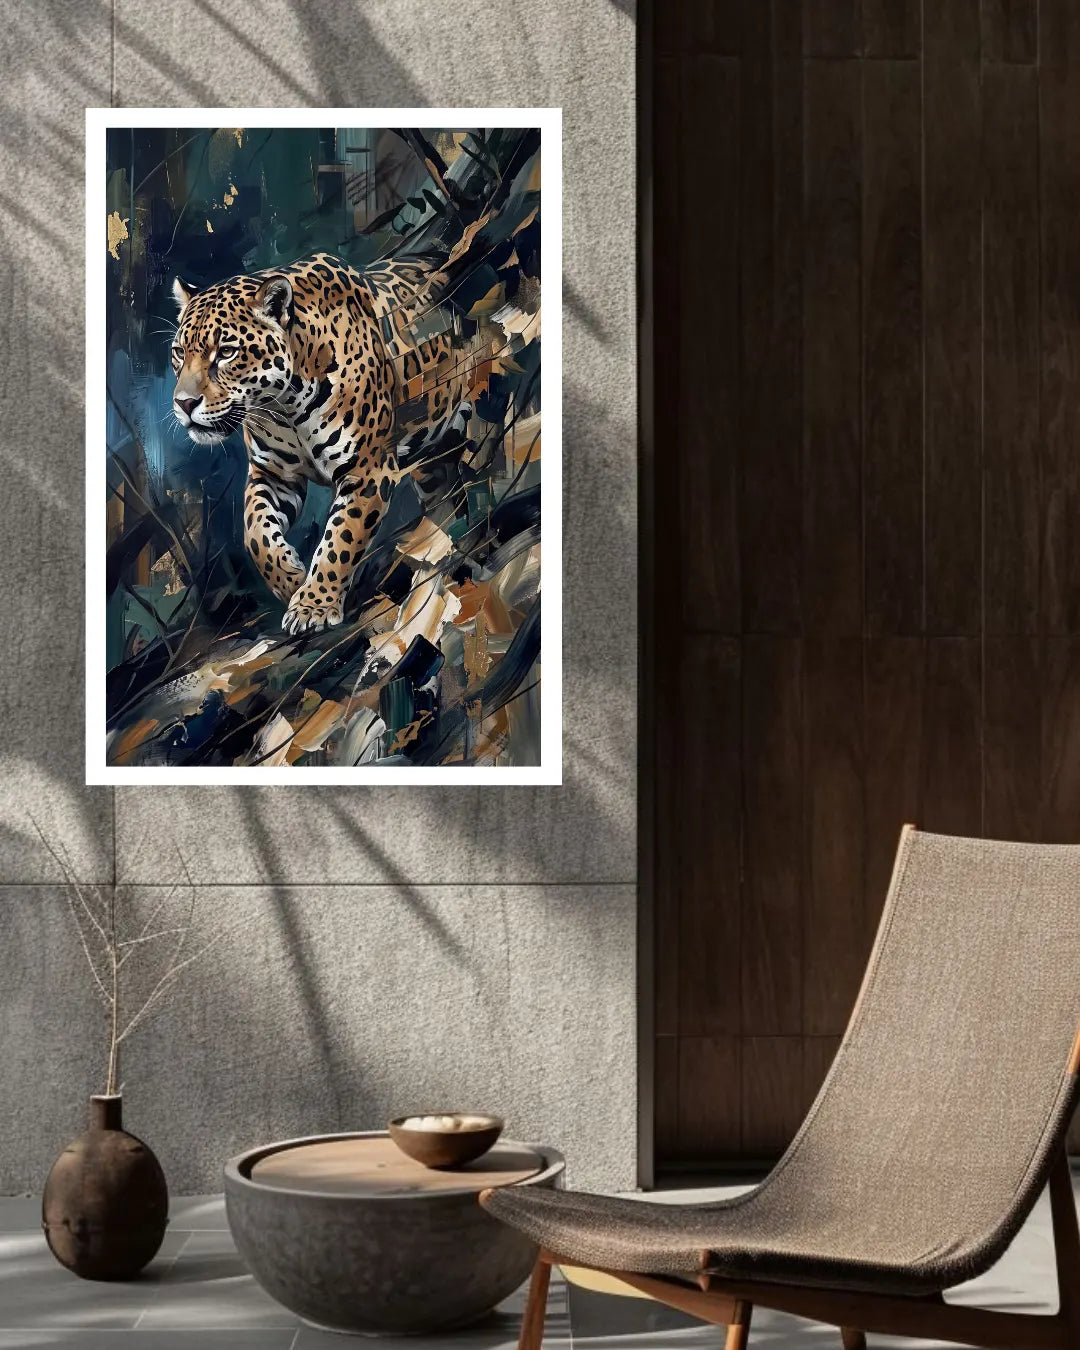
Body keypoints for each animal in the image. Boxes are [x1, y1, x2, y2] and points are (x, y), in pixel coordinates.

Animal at [170, 251, 473, 635]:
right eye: (179, 352)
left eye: (225, 352)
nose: (183, 403)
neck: (284, 405)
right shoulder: (272, 475)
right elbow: (255, 534)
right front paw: (290, 578)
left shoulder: (367, 469)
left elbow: (340, 539)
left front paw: (313, 605)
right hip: (433, 457)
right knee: (443, 489)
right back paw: (438, 541)